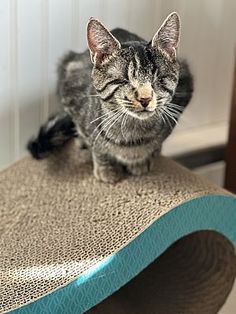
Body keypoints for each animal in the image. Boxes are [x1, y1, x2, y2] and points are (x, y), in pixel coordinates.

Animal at [28, 12, 194, 184]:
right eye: (124, 80)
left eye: (159, 79)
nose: (145, 99)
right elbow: (96, 145)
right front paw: (106, 168)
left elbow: (156, 142)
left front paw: (142, 160)